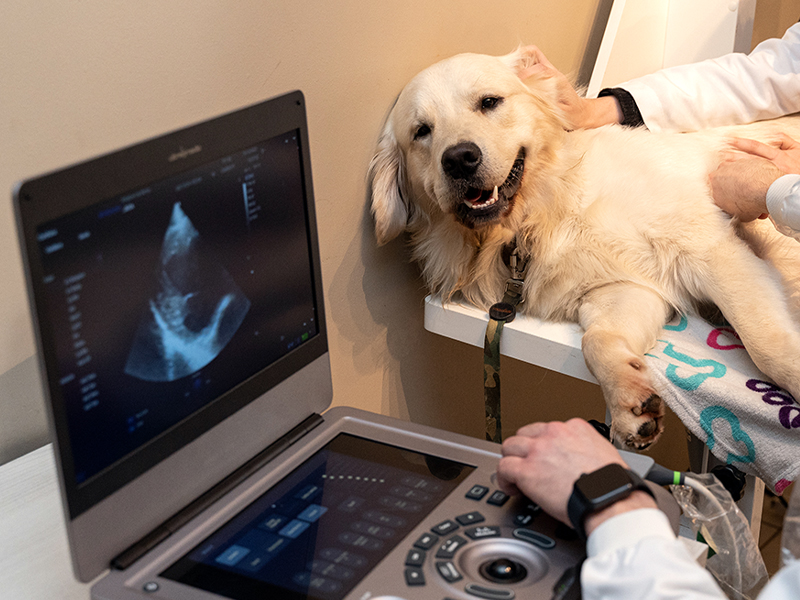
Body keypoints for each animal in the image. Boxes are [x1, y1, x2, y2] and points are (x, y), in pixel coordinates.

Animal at [368, 48, 800, 450]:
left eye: (489, 102)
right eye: (422, 131)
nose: (459, 159)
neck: (544, 211)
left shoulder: (710, 248)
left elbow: (768, 345)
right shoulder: (622, 288)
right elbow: (597, 341)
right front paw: (629, 399)